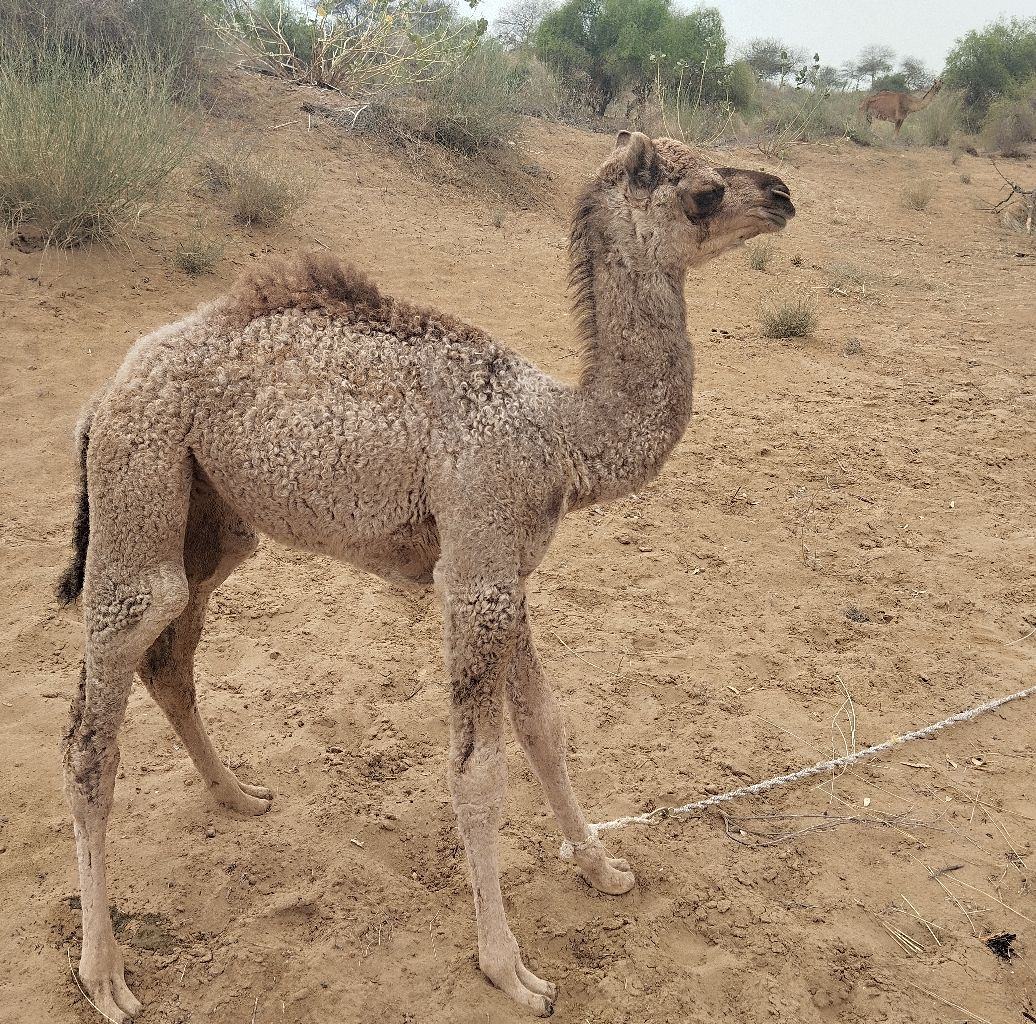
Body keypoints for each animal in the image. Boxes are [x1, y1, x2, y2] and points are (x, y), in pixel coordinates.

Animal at [57, 131, 794, 1020]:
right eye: (706, 192)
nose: (783, 194)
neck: (561, 436)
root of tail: (102, 394)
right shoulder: (474, 573)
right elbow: (479, 771)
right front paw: (508, 967)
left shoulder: (508, 569)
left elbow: (546, 725)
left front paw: (602, 868)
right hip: (139, 476)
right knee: (96, 725)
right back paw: (104, 972)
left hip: (212, 518)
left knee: (172, 657)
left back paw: (239, 795)